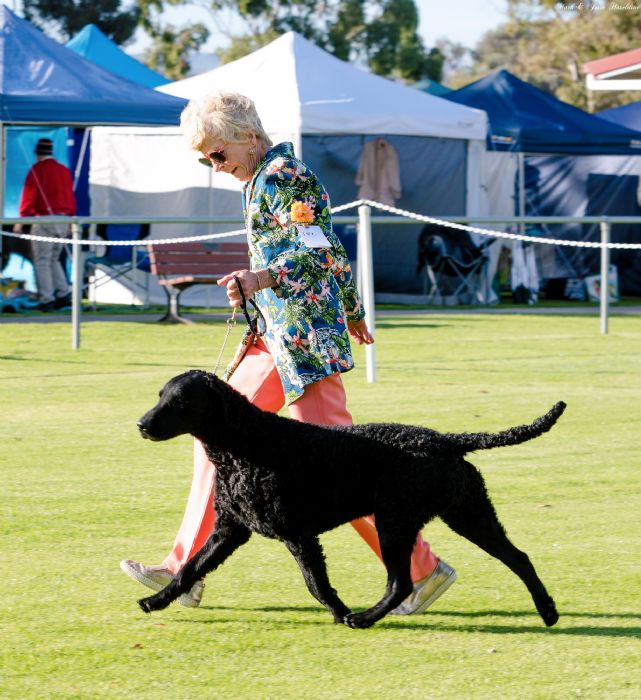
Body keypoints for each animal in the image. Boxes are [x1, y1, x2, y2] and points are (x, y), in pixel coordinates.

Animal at [135, 370, 564, 629]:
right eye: (158, 395)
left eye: (179, 402)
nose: (141, 424)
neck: (247, 445)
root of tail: (445, 440)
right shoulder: (229, 530)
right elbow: (190, 568)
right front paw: (156, 600)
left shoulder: (298, 535)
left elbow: (317, 584)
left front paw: (340, 614)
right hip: (467, 514)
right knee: (518, 558)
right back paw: (548, 611)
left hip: (398, 523)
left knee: (401, 583)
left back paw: (364, 617)